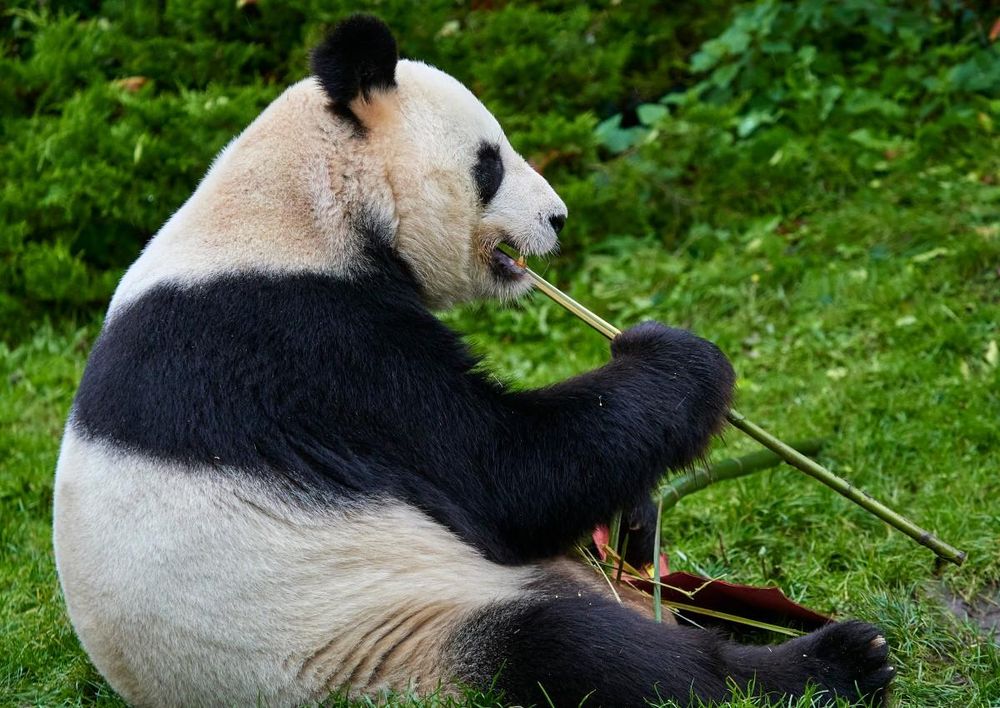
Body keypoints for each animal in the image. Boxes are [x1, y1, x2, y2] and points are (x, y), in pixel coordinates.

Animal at [53, 15, 894, 708]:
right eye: (490, 161)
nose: (558, 218)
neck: (295, 207)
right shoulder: (307, 350)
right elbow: (505, 474)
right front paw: (677, 356)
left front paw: (639, 514)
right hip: (388, 642)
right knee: (579, 652)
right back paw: (836, 661)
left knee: (678, 601)